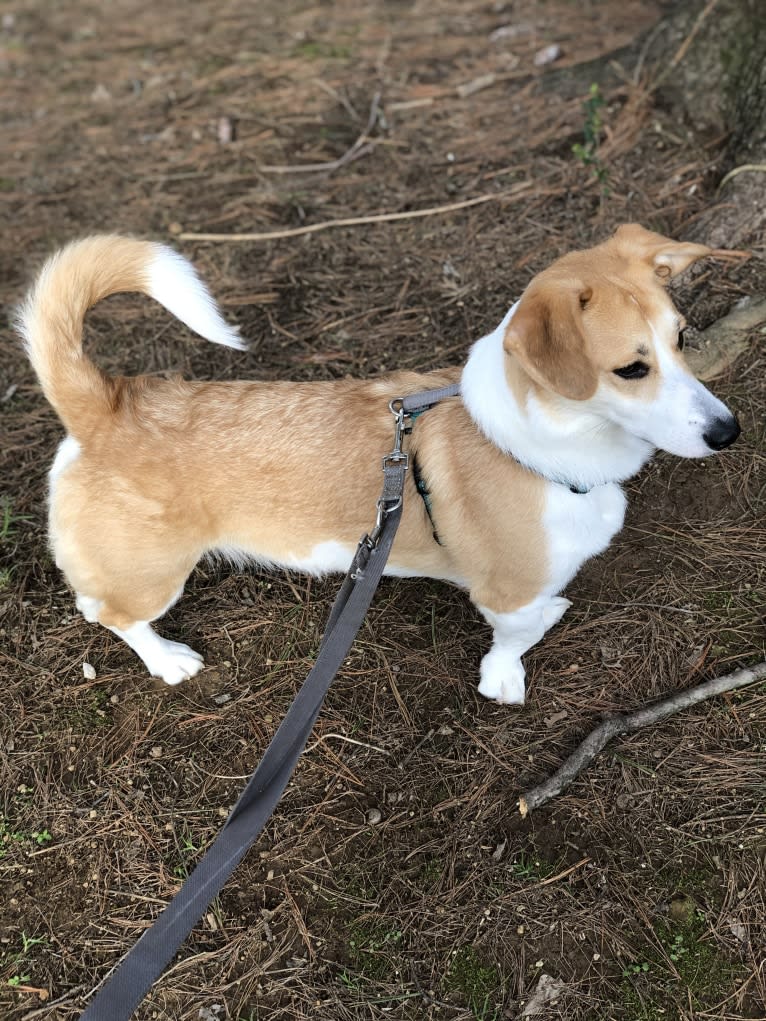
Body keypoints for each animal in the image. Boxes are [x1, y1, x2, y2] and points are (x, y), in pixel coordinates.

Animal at [16, 224, 739, 706]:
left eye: (682, 338)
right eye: (631, 369)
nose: (728, 432)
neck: (536, 448)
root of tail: (104, 403)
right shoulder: (504, 593)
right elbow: (515, 635)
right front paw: (506, 675)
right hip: (155, 575)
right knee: (108, 612)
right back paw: (167, 660)